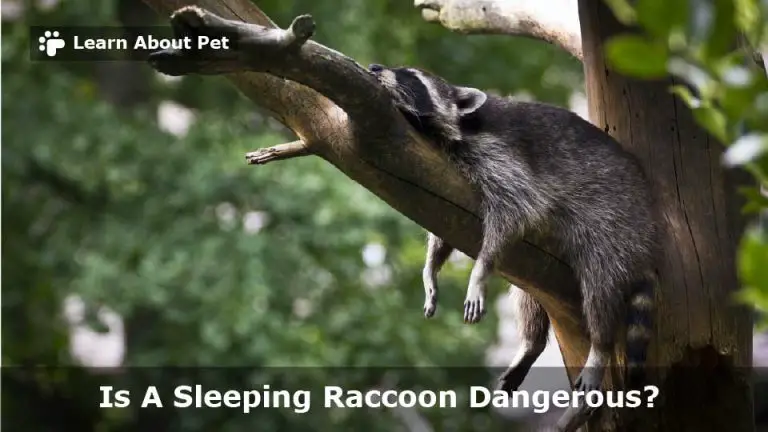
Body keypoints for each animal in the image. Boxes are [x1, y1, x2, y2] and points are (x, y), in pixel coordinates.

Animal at [368, 64, 658, 431]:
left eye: (409, 75)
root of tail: (649, 235)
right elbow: (445, 223)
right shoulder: (447, 176)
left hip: (617, 226)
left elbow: (516, 211)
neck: (458, 126)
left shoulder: (501, 158)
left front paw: (479, 271)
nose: (375, 67)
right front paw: (431, 267)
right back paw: (531, 344)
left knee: (600, 289)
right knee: (528, 293)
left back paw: (600, 348)